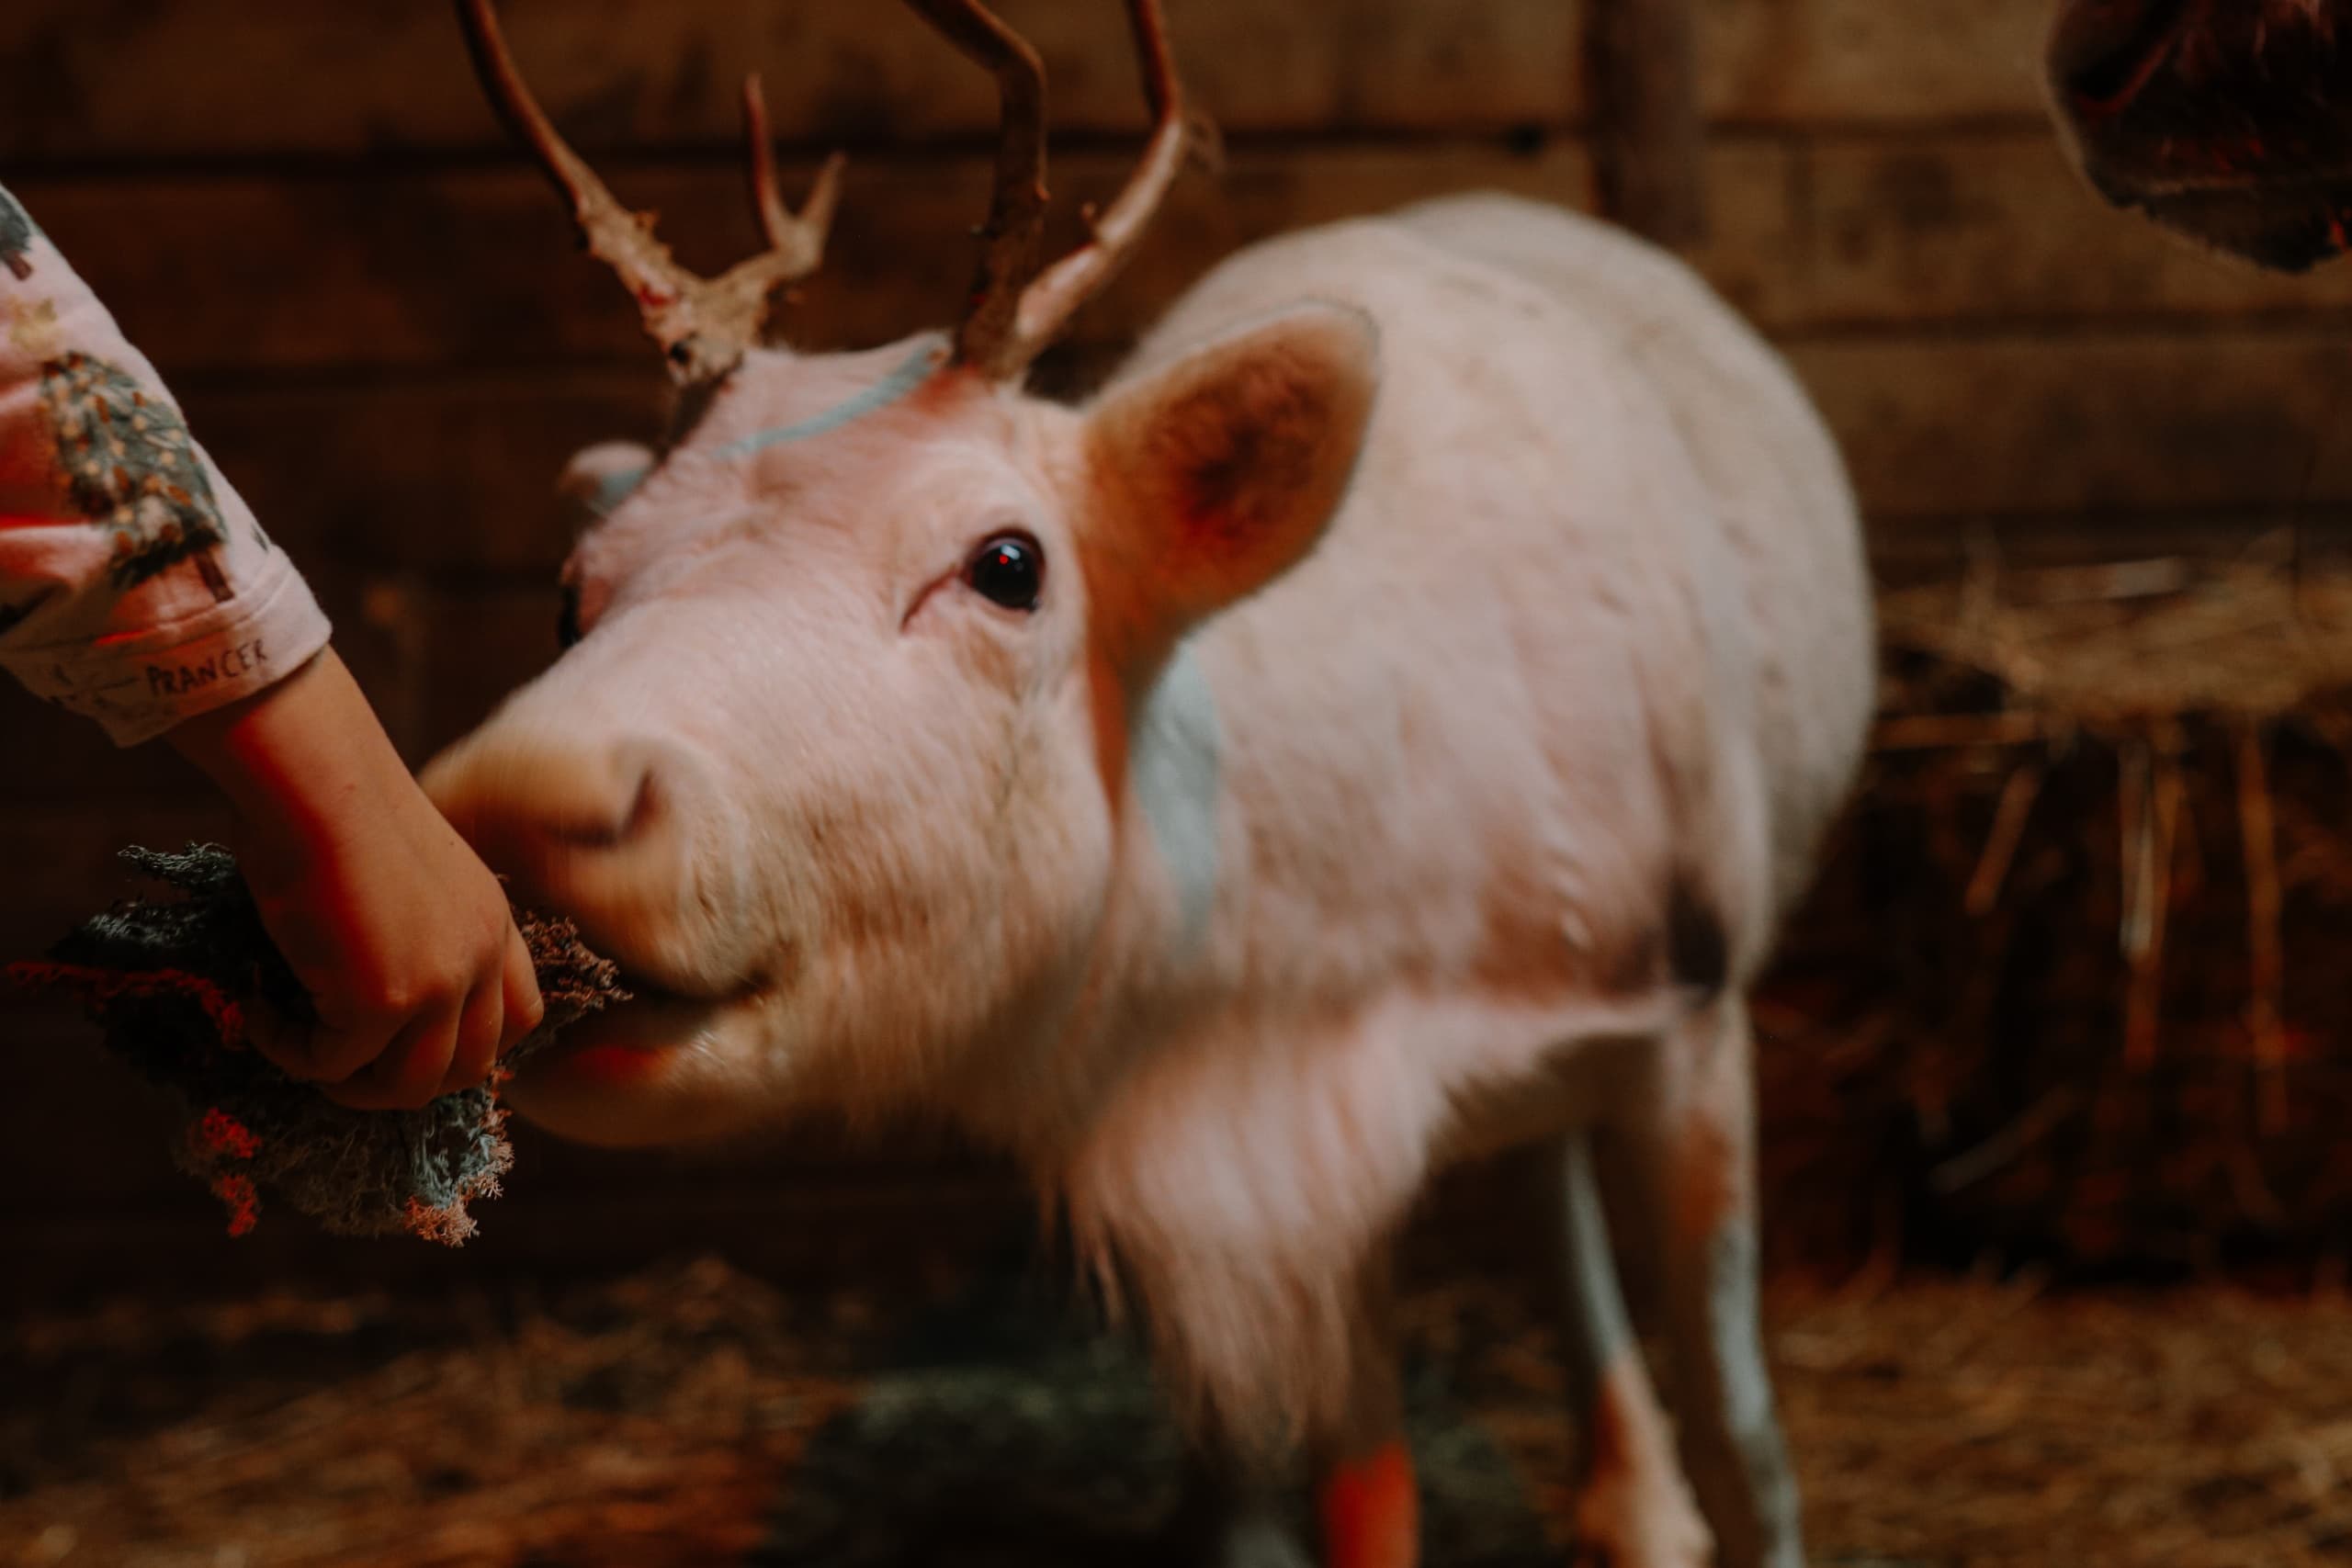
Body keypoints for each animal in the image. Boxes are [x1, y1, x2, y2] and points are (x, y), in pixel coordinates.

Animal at [421, 2, 1874, 1564]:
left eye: (1009, 562)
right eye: (571, 588)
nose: (521, 799)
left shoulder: (1692, 1004)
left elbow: (1748, 1436)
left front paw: (1706, 1488)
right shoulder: (1284, 1165)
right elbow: (1348, 1492)